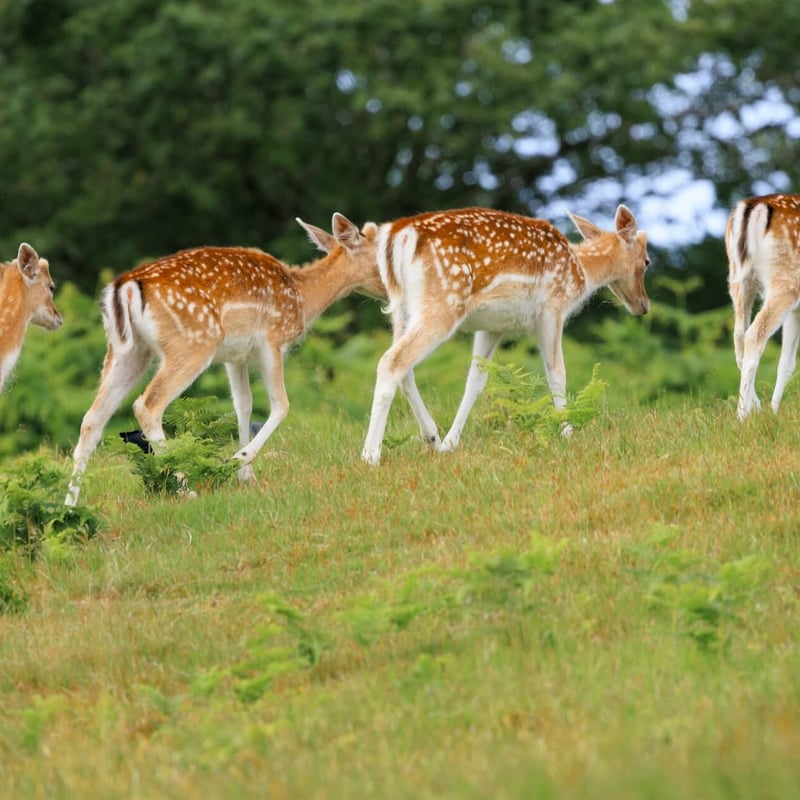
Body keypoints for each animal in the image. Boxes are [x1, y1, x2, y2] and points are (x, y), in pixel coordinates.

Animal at [64, 214, 390, 506]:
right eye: (378, 255)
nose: (390, 291)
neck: (302, 298)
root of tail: (124, 288)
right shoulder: (272, 341)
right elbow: (281, 405)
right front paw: (238, 459)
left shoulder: (235, 356)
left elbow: (243, 405)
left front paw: (246, 476)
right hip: (192, 343)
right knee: (147, 404)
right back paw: (185, 488)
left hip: (127, 352)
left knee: (91, 419)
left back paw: (69, 504)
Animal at [361, 205, 651, 465]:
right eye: (647, 261)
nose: (644, 306)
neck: (580, 272)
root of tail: (396, 236)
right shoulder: (552, 308)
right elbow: (556, 373)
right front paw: (567, 433)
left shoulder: (493, 326)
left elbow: (475, 382)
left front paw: (450, 444)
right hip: (443, 301)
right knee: (392, 361)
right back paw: (370, 455)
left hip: (401, 310)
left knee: (404, 369)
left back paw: (432, 438)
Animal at [727, 193, 800, 420]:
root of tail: (755, 205)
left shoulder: (797, 312)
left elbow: (786, 363)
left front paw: (774, 412)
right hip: (787, 284)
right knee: (754, 335)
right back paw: (741, 416)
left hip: (738, 278)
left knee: (739, 336)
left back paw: (755, 407)